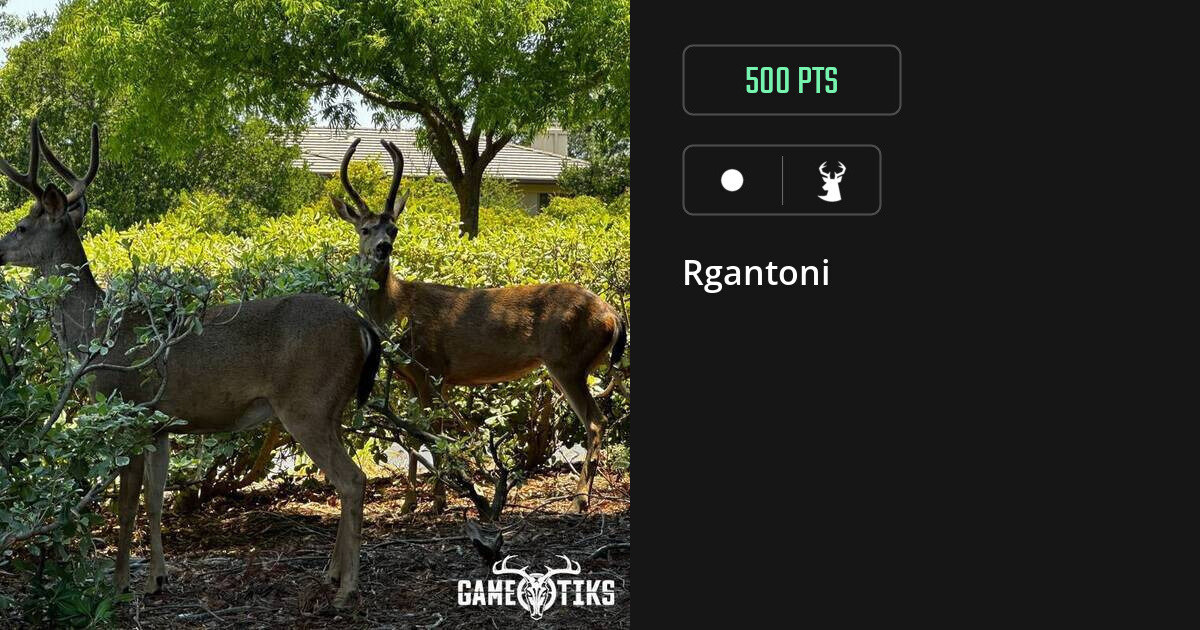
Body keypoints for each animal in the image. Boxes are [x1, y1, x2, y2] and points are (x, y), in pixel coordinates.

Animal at [0, 121, 381, 607]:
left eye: (21, 226)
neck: (97, 334)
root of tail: (362, 327)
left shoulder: (129, 410)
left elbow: (127, 505)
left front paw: (120, 585)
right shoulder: (161, 425)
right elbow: (155, 500)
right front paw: (157, 579)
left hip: (307, 404)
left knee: (352, 480)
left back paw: (346, 589)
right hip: (335, 407)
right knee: (347, 477)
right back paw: (332, 572)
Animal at [329, 138, 626, 514]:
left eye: (393, 228)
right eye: (364, 228)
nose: (383, 247)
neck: (398, 306)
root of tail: (612, 314)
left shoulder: (431, 368)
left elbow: (432, 434)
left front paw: (439, 499)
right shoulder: (416, 378)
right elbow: (415, 434)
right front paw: (409, 502)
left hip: (568, 361)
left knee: (597, 421)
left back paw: (579, 499)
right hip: (574, 364)